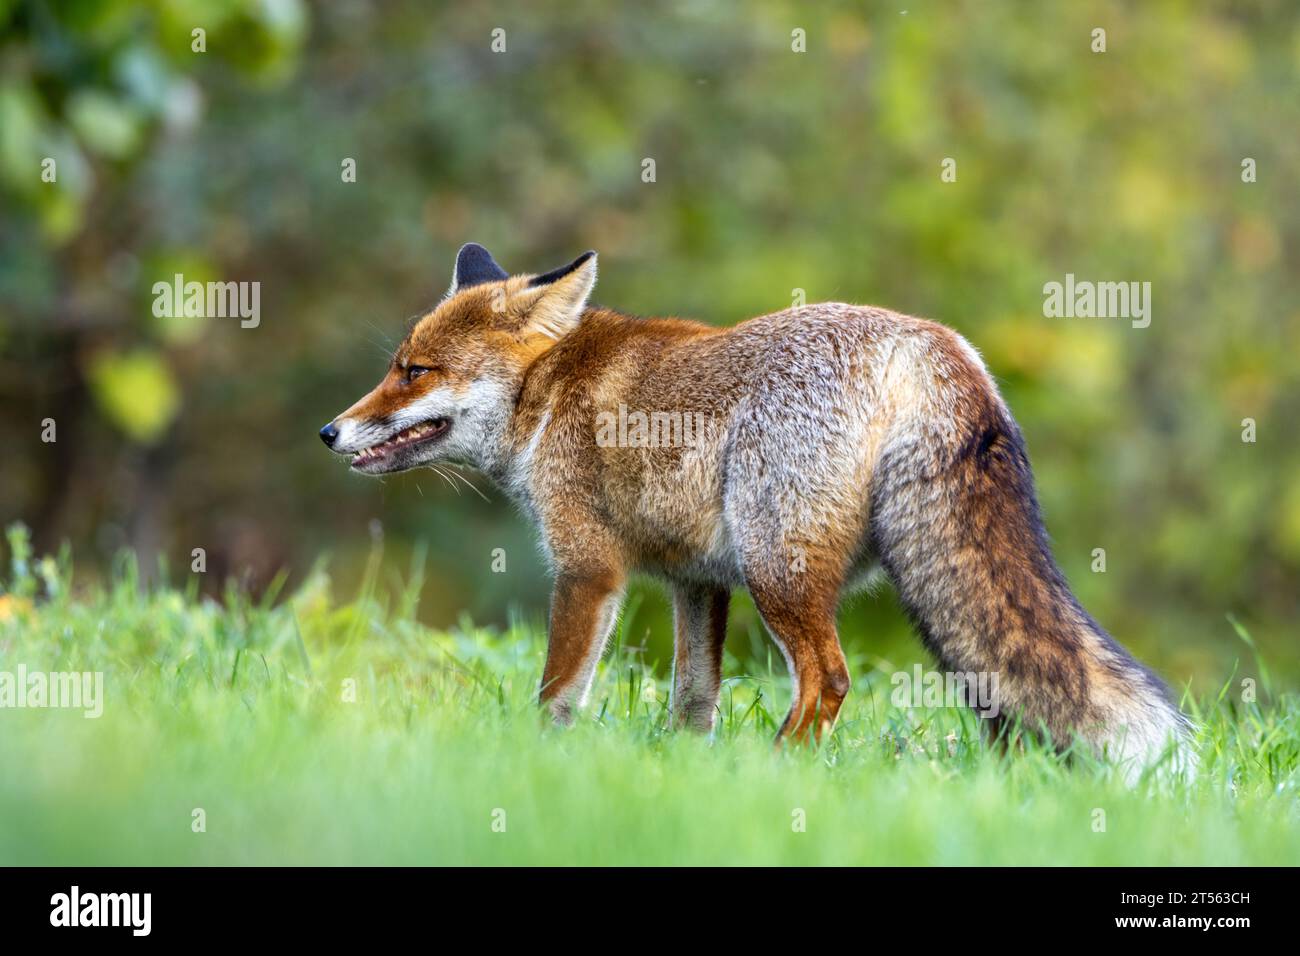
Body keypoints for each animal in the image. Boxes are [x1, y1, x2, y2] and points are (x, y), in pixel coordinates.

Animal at [321, 242, 1194, 778]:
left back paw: (780, 772)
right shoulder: (697, 580)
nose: (330, 431)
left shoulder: (589, 569)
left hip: (779, 570)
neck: (550, 392)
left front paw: (535, 766)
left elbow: (556, 694)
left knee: (829, 680)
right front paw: (688, 780)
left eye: (414, 370)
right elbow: (694, 702)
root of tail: (935, 343)